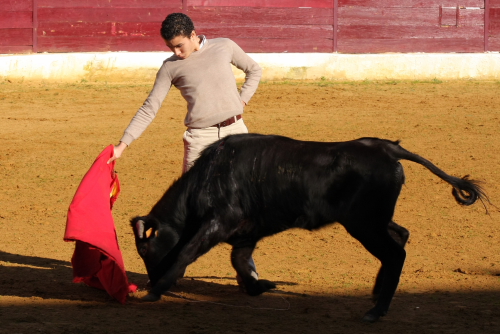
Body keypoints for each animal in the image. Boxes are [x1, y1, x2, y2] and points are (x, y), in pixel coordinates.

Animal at [131, 134, 486, 322]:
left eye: (145, 249)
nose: (149, 279)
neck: (207, 178)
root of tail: (386, 147)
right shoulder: (245, 232)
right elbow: (241, 262)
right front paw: (261, 287)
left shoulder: (219, 223)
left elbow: (186, 254)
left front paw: (156, 291)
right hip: (373, 221)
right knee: (400, 237)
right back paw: (375, 294)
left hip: (364, 224)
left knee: (395, 253)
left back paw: (376, 310)